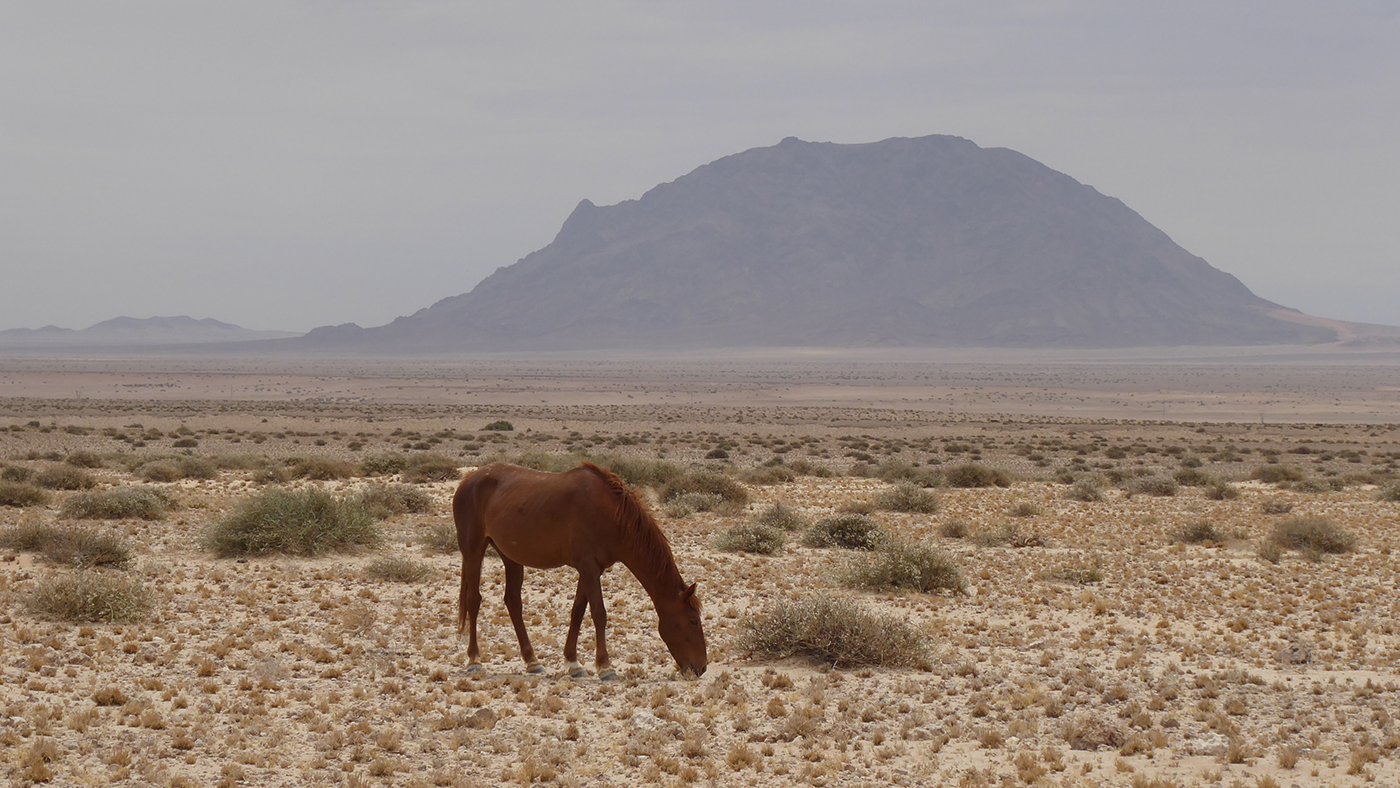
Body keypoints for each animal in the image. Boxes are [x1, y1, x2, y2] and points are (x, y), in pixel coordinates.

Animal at [452, 461, 707, 679]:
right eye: (693, 621)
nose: (702, 668)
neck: (611, 515)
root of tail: (468, 480)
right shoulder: (589, 567)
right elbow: (599, 613)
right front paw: (605, 666)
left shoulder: (592, 569)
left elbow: (577, 611)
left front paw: (573, 663)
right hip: (474, 550)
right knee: (474, 601)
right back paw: (474, 660)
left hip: (511, 557)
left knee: (513, 602)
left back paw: (532, 661)